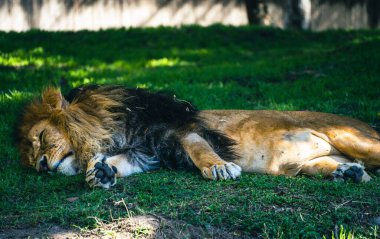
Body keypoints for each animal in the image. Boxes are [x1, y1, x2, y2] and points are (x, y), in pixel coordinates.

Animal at [18, 85, 380, 188]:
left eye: (41, 138)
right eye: (30, 157)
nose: (41, 166)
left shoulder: (181, 130)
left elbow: (199, 150)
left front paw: (219, 168)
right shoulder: (145, 153)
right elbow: (119, 164)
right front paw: (99, 174)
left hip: (352, 138)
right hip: (308, 163)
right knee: (342, 167)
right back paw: (348, 173)